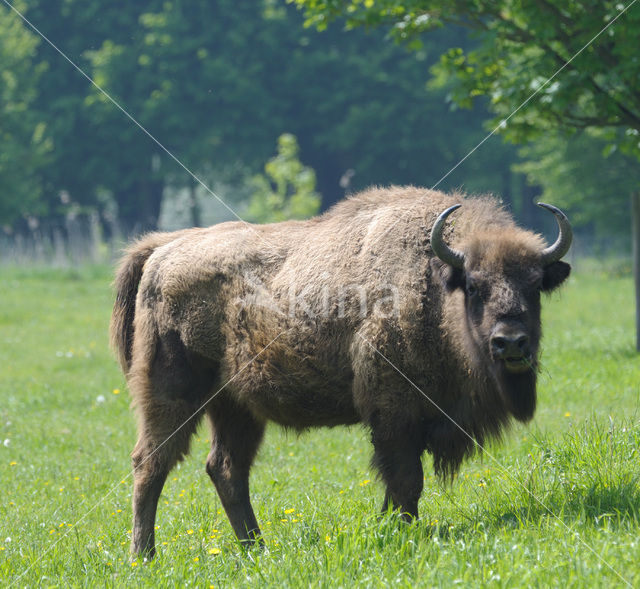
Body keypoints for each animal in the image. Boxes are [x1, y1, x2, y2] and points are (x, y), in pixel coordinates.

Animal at [109, 187, 568, 556]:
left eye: (533, 285)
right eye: (474, 286)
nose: (511, 342)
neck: (434, 285)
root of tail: (165, 248)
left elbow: (402, 480)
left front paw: (391, 527)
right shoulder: (393, 413)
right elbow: (405, 479)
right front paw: (398, 530)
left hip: (236, 407)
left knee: (225, 468)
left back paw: (256, 548)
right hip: (172, 393)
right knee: (150, 463)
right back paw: (144, 555)